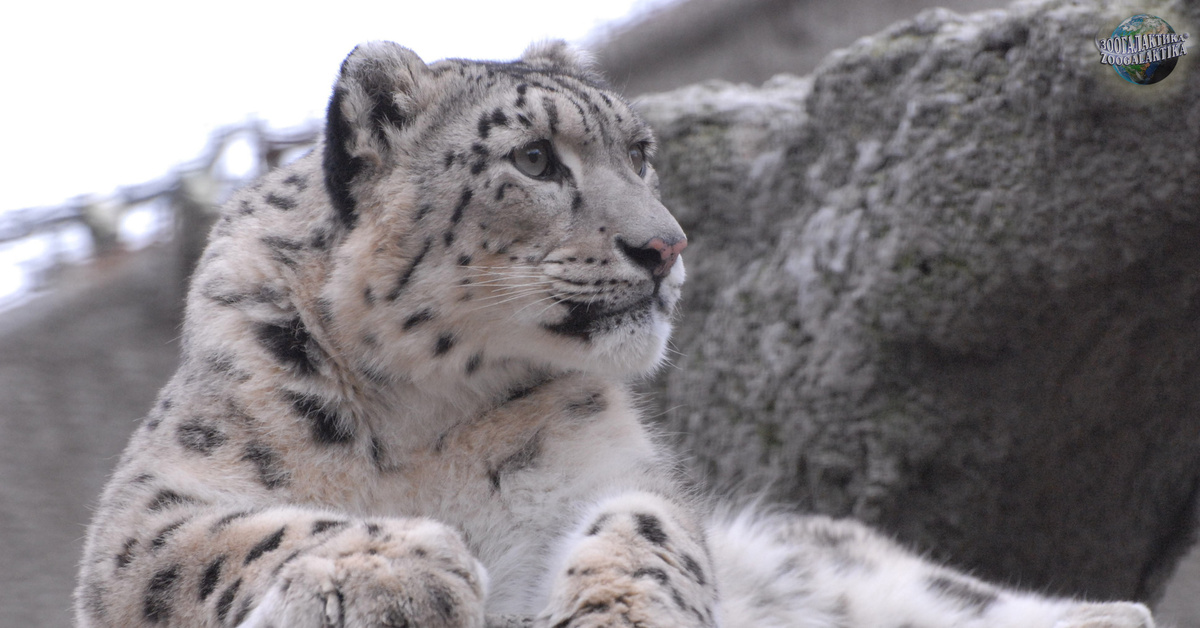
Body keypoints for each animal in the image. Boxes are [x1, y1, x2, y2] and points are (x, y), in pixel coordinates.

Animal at [72, 40, 1152, 628]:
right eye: (534, 159)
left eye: (641, 151)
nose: (665, 246)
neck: (424, 419)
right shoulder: (151, 507)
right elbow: (236, 533)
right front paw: (400, 571)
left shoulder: (610, 467)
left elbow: (648, 524)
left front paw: (618, 608)